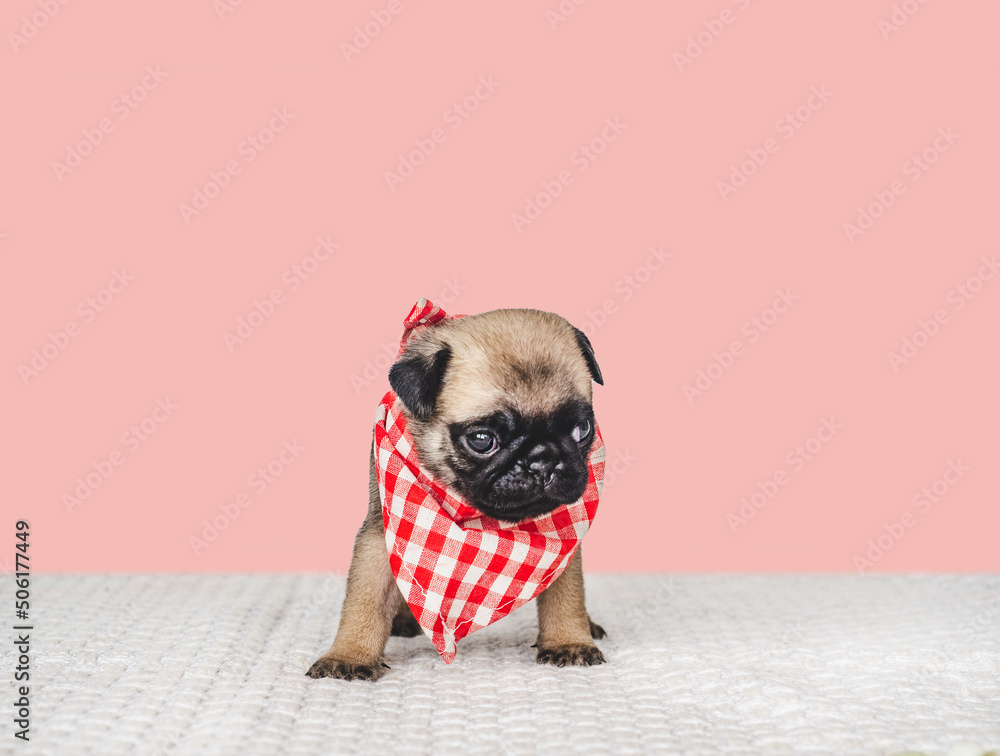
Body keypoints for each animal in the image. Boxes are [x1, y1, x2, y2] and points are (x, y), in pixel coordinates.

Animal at [304, 308, 604, 680]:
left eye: (582, 430)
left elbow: (567, 593)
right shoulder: (379, 531)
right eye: (482, 440)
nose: (543, 460)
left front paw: (569, 639)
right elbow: (366, 599)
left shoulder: (563, 542)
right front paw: (350, 655)